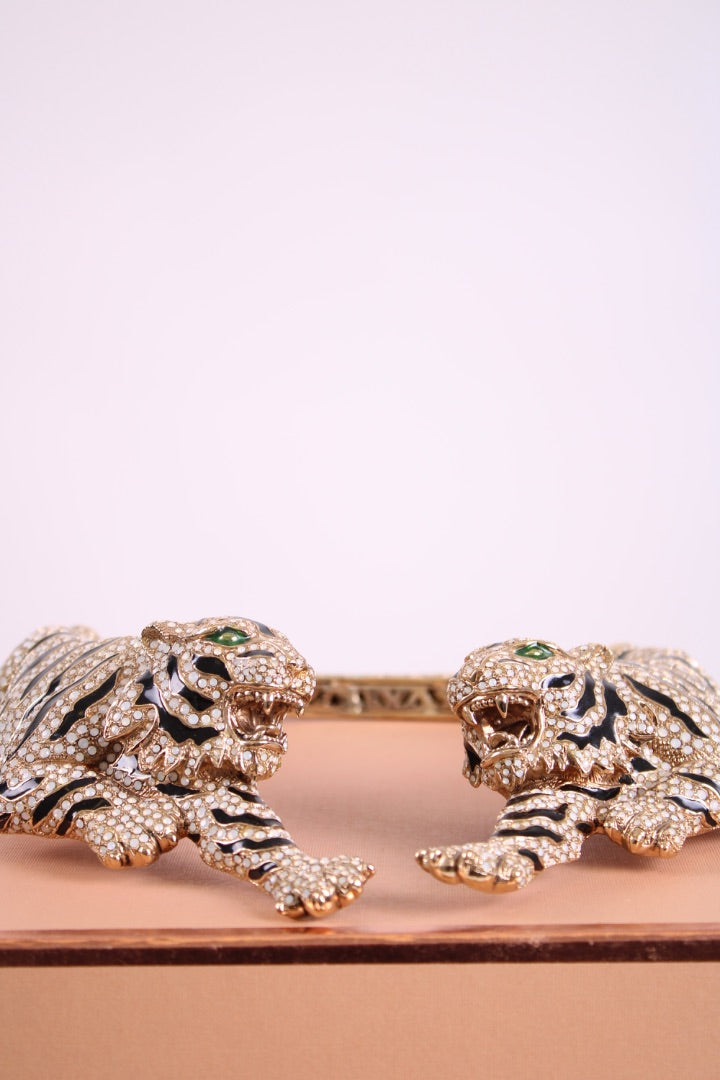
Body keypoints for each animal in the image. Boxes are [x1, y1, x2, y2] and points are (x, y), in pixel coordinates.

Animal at [0, 618, 374, 918]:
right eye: (230, 636)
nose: (300, 666)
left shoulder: (220, 792)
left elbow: (261, 837)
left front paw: (316, 879)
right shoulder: (16, 769)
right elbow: (76, 783)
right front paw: (140, 823)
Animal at [417, 638, 720, 892]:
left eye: (536, 651)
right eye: (468, 658)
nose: (473, 673)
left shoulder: (710, 751)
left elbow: (688, 781)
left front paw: (642, 819)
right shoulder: (552, 792)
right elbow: (525, 828)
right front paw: (478, 860)